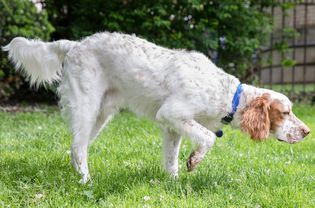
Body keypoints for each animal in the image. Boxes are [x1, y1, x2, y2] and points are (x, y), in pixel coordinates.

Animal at [3, 31, 312, 183]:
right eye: (285, 112)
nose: (308, 132)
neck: (227, 95)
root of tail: (74, 44)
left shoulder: (173, 127)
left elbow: (171, 159)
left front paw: (173, 184)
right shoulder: (172, 113)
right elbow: (208, 137)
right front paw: (194, 161)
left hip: (101, 115)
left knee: (75, 148)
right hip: (87, 107)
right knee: (78, 148)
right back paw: (87, 183)